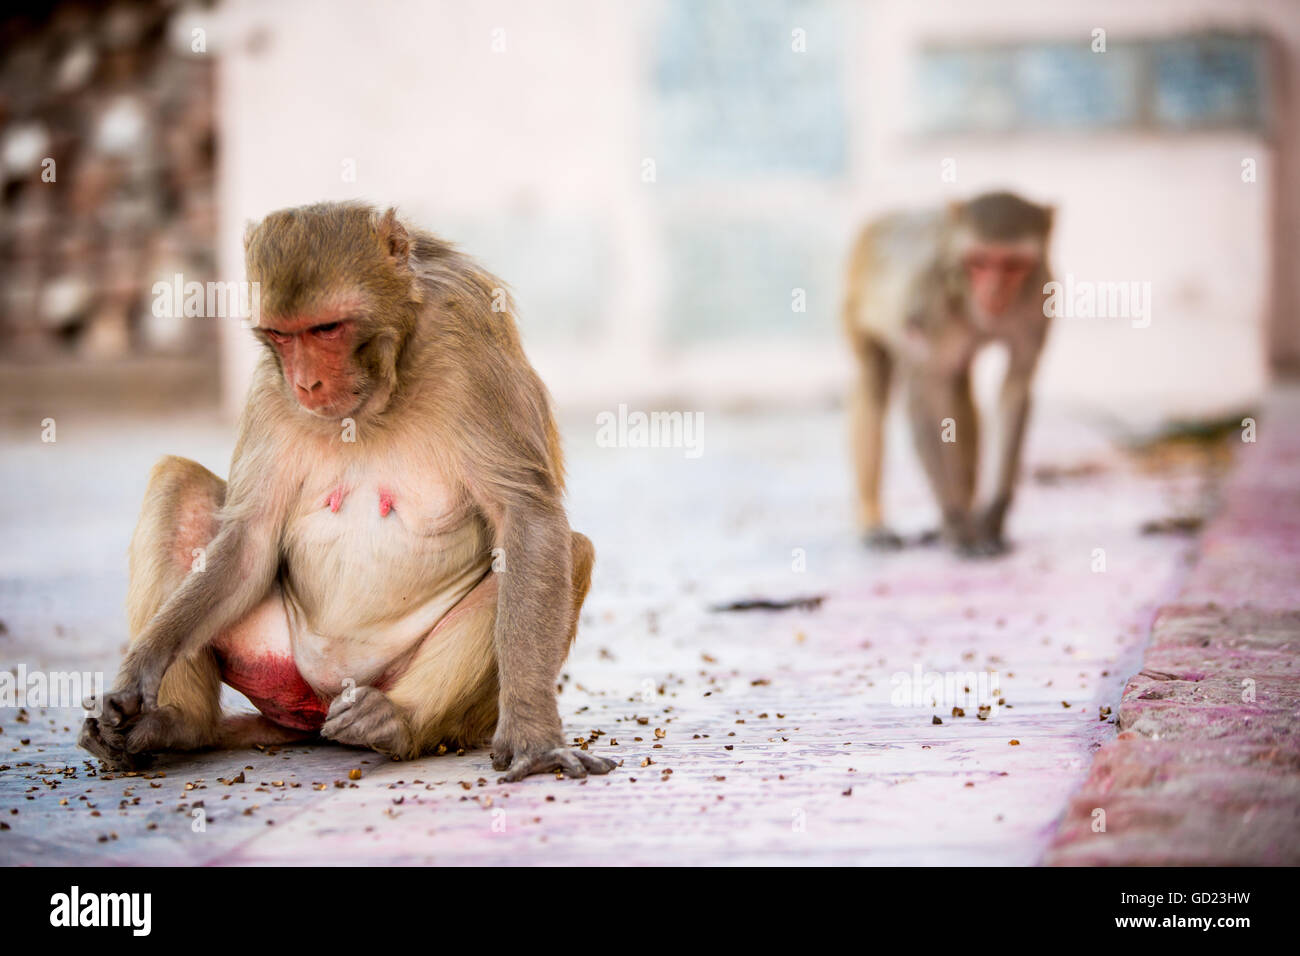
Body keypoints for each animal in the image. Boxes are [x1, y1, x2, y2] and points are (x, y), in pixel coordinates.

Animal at [79, 202, 617, 783]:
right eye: (282, 335)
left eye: (327, 328)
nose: (306, 384)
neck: (384, 385)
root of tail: (315, 710)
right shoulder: (270, 387)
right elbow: (250, 543)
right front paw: (139, 670)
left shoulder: (466, 335)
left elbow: (525, 514)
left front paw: (532, 736)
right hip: (275, 664)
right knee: (178, 480)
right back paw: (177, 724)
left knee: (563, 550)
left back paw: (397, 722)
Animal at [842, 191, 1054, 557]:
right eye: (979, 262)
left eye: (1012, 264)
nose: (994, 292)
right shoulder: (929, 307)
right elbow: (923, 398)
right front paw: (958, 525)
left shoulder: (1039, 298)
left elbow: (1015, 388)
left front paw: (992, 517)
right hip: (855, 300)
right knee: (874, 387)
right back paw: (873, 520)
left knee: (957, 390)